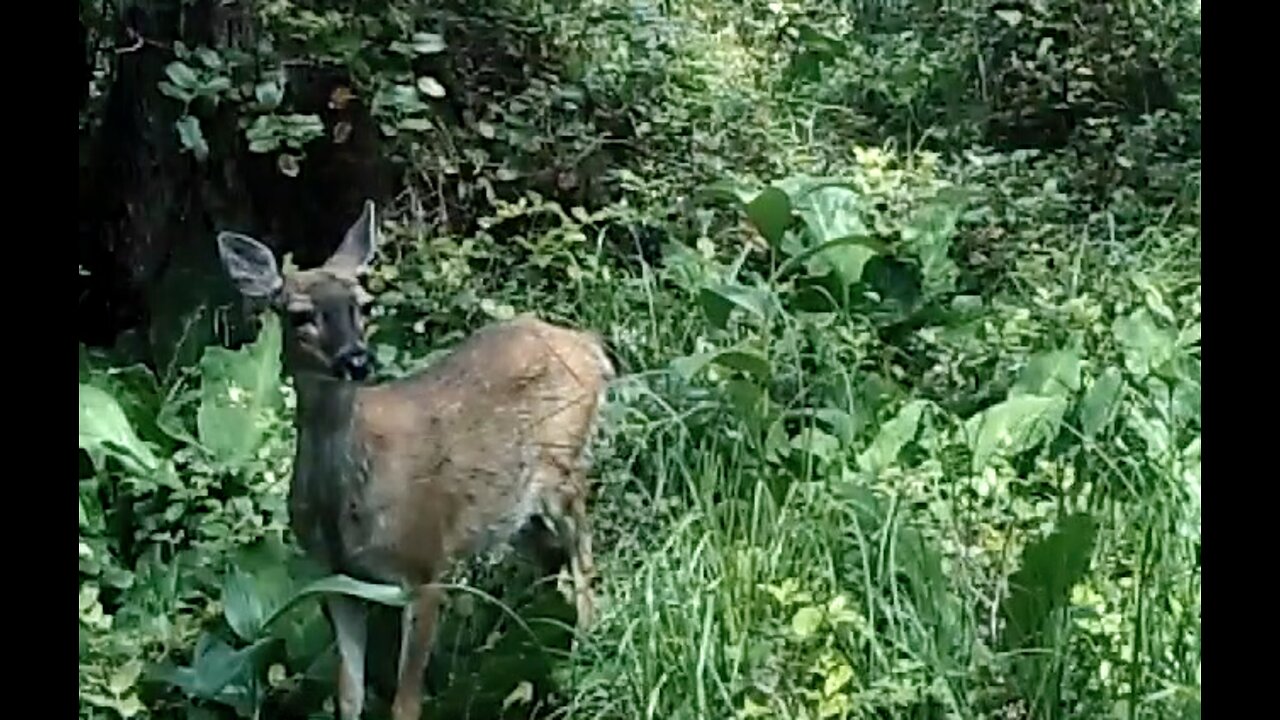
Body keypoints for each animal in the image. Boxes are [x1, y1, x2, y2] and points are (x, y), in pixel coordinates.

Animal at [215, 197, 614, 717]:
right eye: (300, 315)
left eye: (364, 306)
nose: (357, 360)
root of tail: (590, 346)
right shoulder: (334, 578)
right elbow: (349, 695)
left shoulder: (424, 564)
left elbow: (405, 703)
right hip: (513, 511)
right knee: (552, 561)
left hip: (563, 466)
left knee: (584, 557)